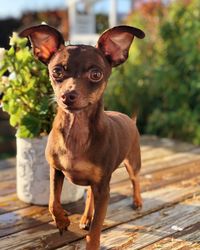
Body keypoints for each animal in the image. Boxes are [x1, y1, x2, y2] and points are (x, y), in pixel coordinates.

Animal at [20, 23, 145, 250]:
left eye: (96, 74)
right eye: (56, 71)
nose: (67, 95)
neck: (76, 131)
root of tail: (129, 119)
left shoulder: (103, 188)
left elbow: (96, 230)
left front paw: (91, 239)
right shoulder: (56, 170)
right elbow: (53, 202)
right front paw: (62, 220)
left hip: (132, 163)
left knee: (135, 180)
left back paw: (137, 201)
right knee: (89, 198)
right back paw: (86, 217)